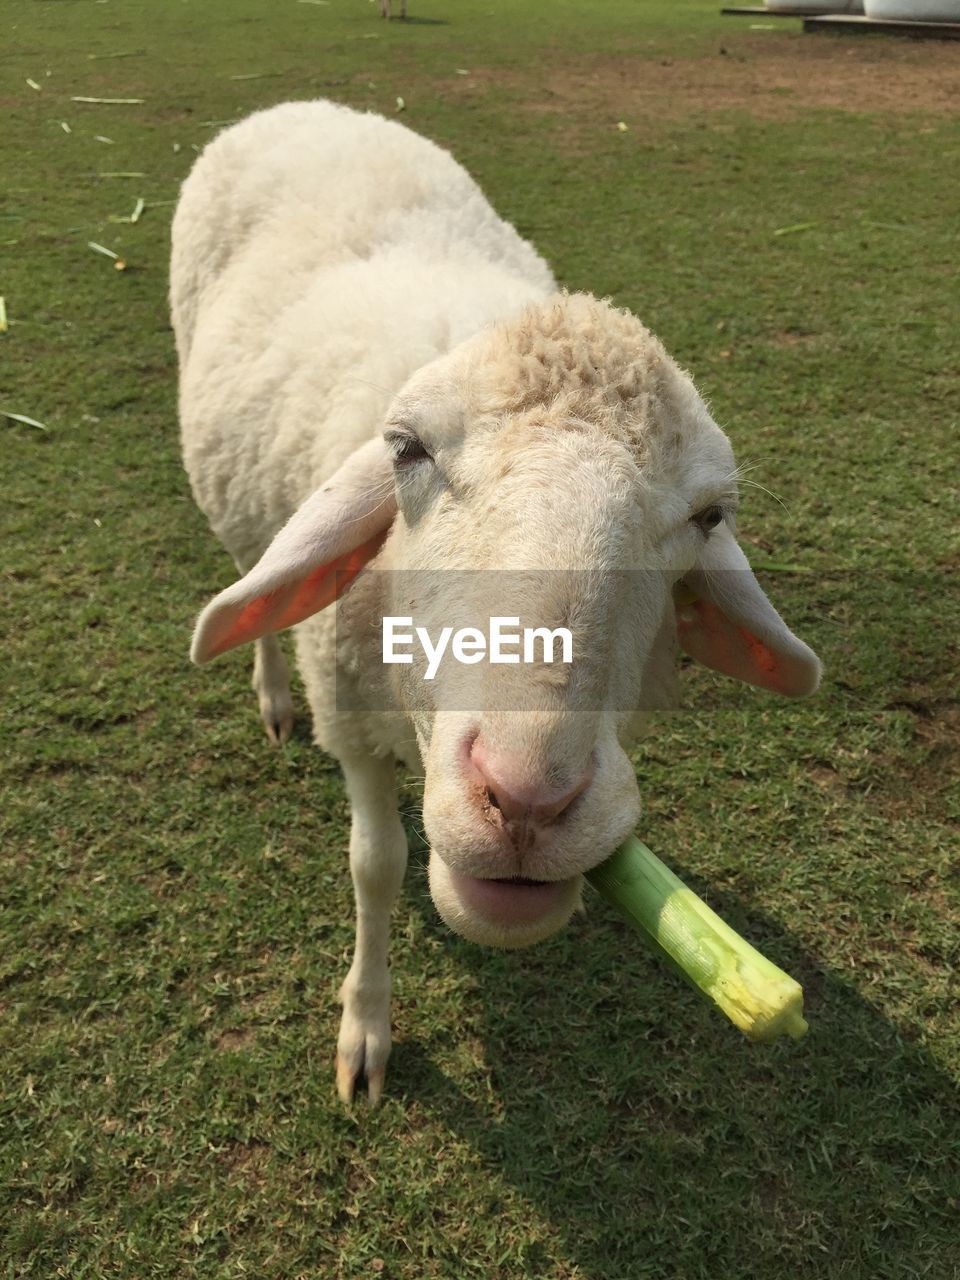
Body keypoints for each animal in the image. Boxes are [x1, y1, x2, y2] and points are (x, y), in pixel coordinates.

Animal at [171, 99, 819, 1105]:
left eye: (708, 515)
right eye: (406, 450)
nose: (525, 801)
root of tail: (312, 106)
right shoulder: (351, 720)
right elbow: (377, 867)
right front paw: (366, 1028)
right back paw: (272, 695)